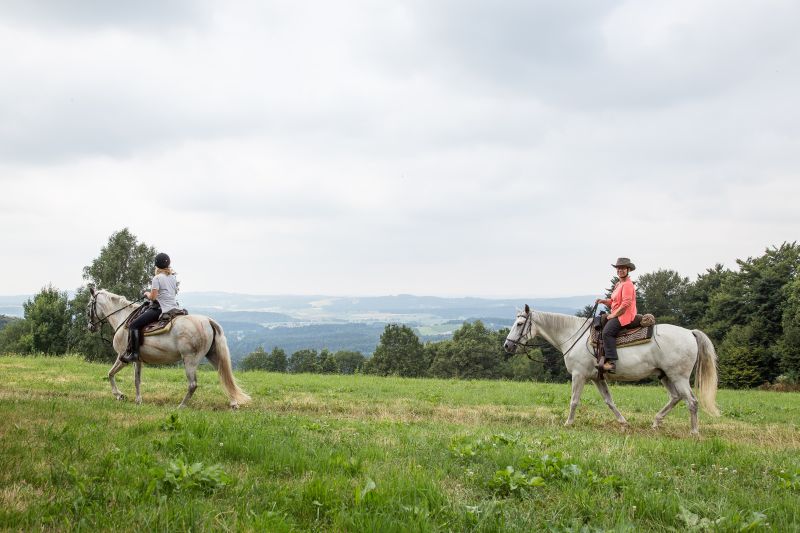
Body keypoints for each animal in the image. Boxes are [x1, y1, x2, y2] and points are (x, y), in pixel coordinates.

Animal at [87, 286, 250, 408]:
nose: (90, 327)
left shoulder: (122, 356)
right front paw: (138, 400)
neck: (123, 319)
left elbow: (110, 374)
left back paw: (181, 406)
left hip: (190, 360)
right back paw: (234, 403)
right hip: (213, 355)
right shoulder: (137, 360)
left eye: (89, 306)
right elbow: (136, 379)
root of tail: (208, 321)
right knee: (224, 375)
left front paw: (119, 395)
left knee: (193, 384)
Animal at [504, 306, 720, 434]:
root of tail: (690, 332)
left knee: (691, 401)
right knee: (675, 397)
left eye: (520, 323)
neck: (573, 335)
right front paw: (623, 423)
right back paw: (656, 422)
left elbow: (574, 400)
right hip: (665, 375)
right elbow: (609, 401)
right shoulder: (597, 378)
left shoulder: (579, 375)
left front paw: (568, 423)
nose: (507, 345)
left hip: (678, 376)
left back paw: (694, 432)